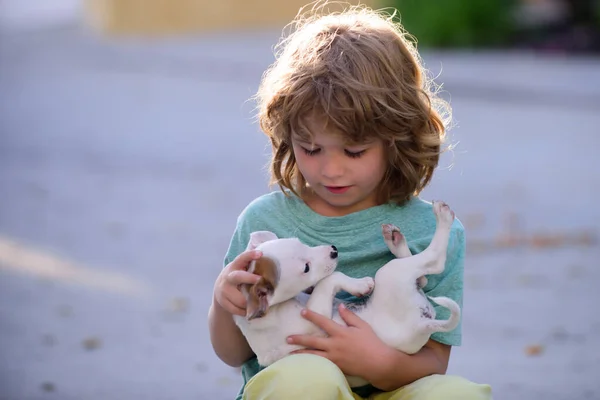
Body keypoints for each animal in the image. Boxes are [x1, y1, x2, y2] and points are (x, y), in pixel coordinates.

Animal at [233, 200, 460, 388]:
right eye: (306, 268)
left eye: (300, 242)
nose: (334, 251)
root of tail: (421, 323)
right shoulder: (314, 319)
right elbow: (330, 278)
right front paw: (361, 285)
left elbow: (326, 280)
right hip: (392, 274)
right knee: (435, 261)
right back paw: (443, 216)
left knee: (422, 279)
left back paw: (396, 240)